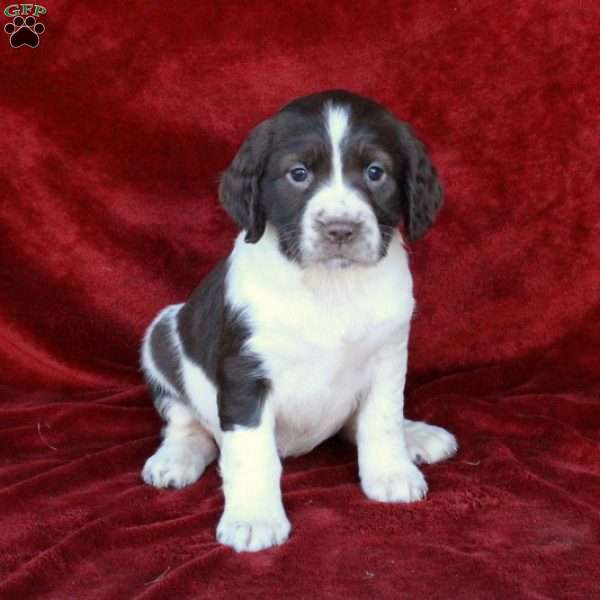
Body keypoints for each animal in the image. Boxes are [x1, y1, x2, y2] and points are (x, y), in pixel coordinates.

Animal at [142, 90, 460, 552]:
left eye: (376, 172)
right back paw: (177, 457)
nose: (340, 229)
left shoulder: (388, 355)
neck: (329, 286)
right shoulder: (245, 374)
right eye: (298, 173)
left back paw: (414, 434)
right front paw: (254, 516)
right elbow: (250, 451)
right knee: (187, 423)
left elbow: (381, 420)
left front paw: (391, 471)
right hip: (162, 334)